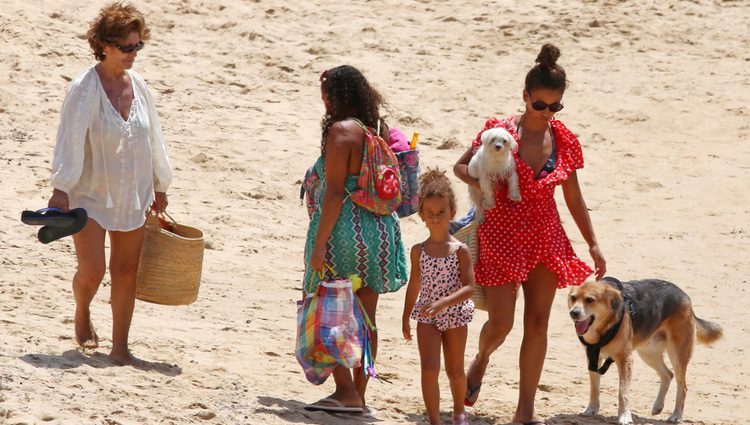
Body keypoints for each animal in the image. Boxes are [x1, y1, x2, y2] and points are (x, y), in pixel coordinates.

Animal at [568, 276, 724, 422]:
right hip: (648, 354)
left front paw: (625, 416)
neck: (603, 327)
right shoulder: (593, 358)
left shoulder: (625, 359)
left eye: (590, 300)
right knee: (668, 375)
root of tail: (685, 296)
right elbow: (594, 388)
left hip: (677, 355)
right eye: (573, 298)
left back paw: (676, 416)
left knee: (682, 387)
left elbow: (622, 392)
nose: (573, 313)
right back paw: (658, 407)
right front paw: (591, 409)